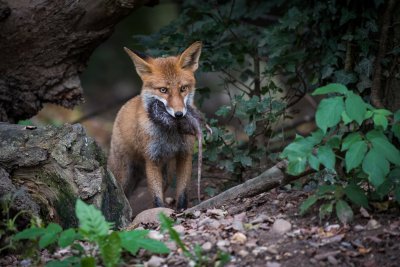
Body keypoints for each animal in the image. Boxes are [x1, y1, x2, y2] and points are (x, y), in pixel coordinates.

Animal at [108, 42, 203, 211]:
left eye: (183, 88)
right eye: (163, 90)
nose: (179, 114)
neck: (170, 134)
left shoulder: (184, 155)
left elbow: (182, 192)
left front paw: (181, 210)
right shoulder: (152, 159)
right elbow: (156, 198)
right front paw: (160, 213)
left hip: (166, 173)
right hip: (124, 174)